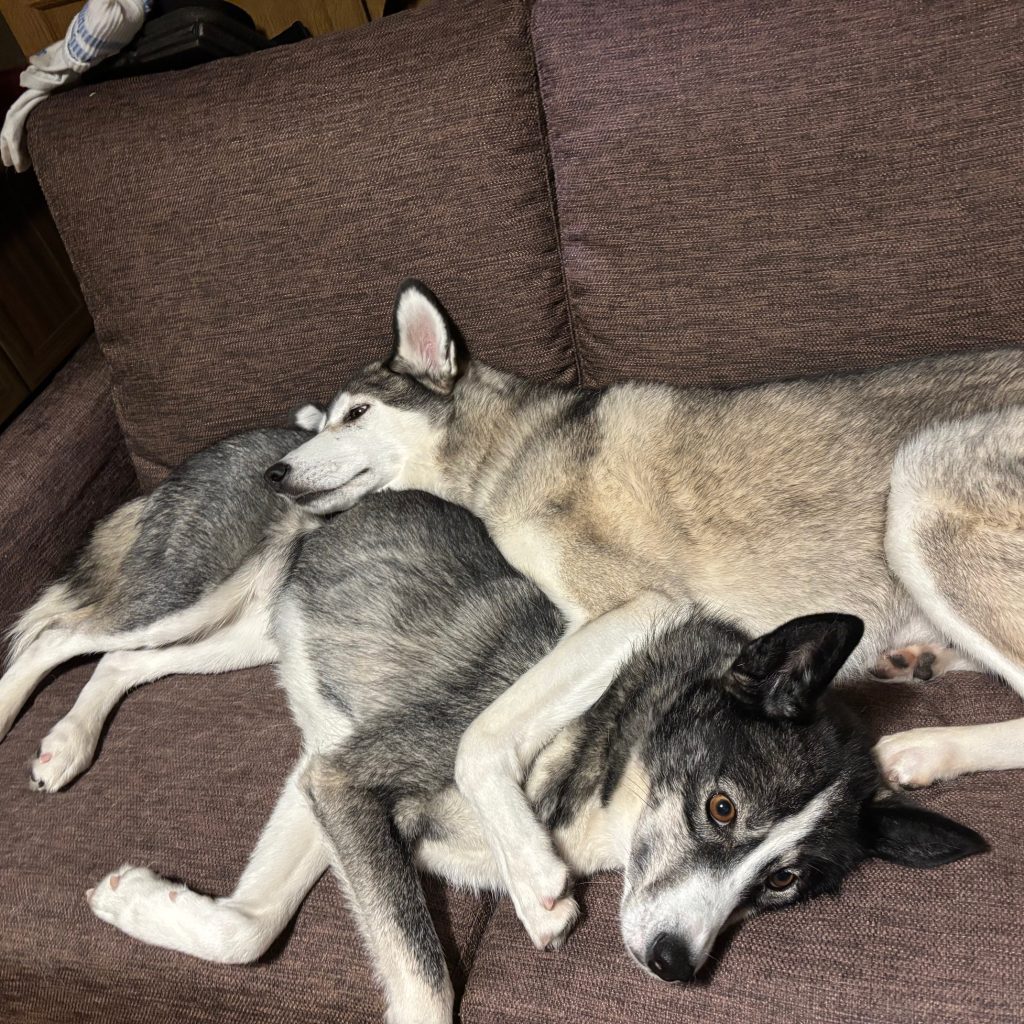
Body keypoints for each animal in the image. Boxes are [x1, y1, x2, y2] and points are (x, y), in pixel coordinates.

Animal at [59, 487, 978, 1024]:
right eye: (722, 808)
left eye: (784, 882)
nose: (676, 966)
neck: (613, 749)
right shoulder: (344, 777)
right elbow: (424, 984)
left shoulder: (318, 779)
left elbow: (246, 928)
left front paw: (136, 900)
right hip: (195, 595)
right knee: (75, 634)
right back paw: (56, 733)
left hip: (243, 638)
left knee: (128, 664)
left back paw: (69, 742)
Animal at [264, 280, 1024, 954]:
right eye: (326, 419)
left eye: (357, 413)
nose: (273, 473)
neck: (509, 445)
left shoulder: (634, 607)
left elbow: (481, 735)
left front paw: (532, 877)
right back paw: (919, 664)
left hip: (920, 483)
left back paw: (926, 748)